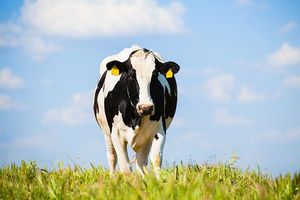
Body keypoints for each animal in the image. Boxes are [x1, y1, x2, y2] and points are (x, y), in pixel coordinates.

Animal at [92, 45, 179, 177]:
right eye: (131, 76)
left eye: (155, 76)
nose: (146, 107)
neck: (135, 118)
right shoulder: (116, 133)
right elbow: (125, 168)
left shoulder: (159, 129)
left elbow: (156, 159)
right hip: (106, 132)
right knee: (112, 157)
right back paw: (113, 177)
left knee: (141, 160)